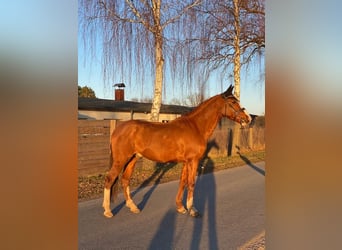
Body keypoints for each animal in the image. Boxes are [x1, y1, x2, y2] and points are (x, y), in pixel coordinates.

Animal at [102, 84, 251, 217]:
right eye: (233, 102)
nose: (248, 118)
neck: (196, 127)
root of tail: (118, 129)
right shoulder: (193, 161)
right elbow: (191, 183)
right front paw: (192, 209)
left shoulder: (186, 162)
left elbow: (183, 182)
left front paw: (180, 207)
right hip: (121, 159)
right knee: (110, 179)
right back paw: (108, 211)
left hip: (132, 158)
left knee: (125, 180)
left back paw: (133, 207)